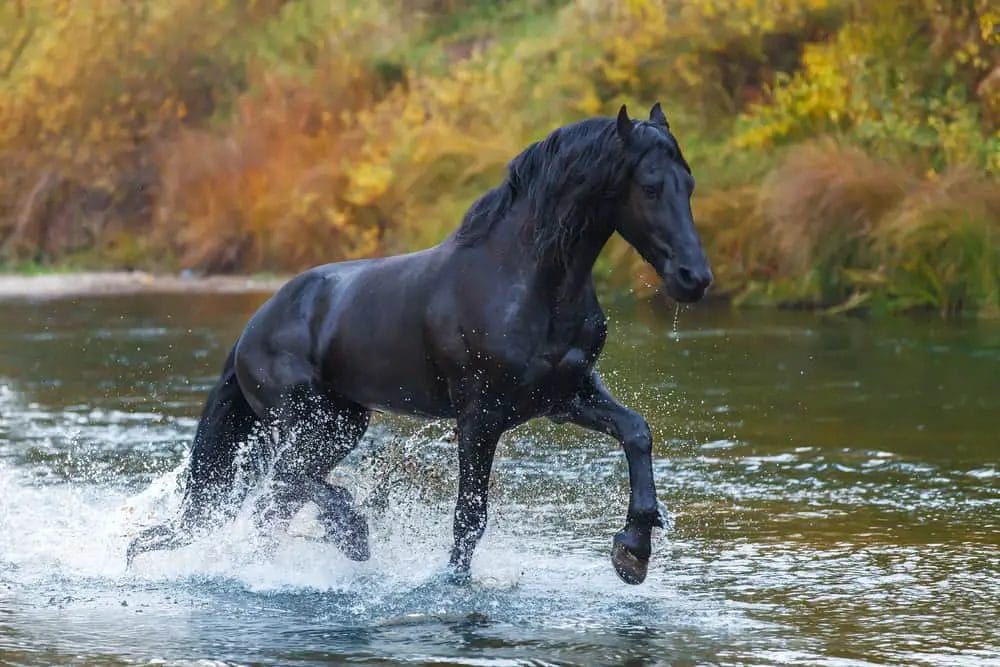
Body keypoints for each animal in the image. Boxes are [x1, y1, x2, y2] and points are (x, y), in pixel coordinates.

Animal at [126, 103, 712, 585]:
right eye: (651, 187)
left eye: (689, 183)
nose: (694, 278)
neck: (525, 282)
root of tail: (252, 329)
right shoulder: (480, 417)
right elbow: (469, 516)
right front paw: (452, 584)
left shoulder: (565, 397)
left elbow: (636, 432)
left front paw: (633, 551)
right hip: (312, 422)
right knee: (291, 482)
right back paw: (352, 535)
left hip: (338, 424)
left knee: (281, 496)